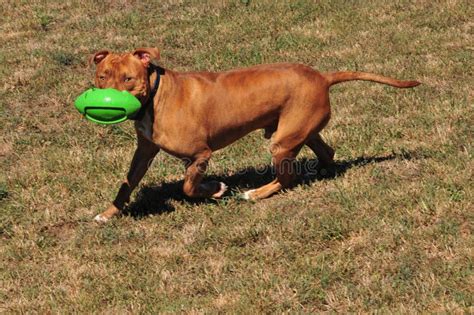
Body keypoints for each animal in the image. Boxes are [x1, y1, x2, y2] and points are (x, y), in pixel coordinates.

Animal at [90, 48, 420, 223]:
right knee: (326, 152)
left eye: (128, 79)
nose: (107, 101)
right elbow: (126, 184)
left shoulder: (200, 155)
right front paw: (108, 213)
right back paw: (326, 172)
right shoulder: (143, 151)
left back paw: (256, 193)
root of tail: (322, 77)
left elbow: (188, 187)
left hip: (282, 143)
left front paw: (217, 190)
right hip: (298, 130)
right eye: (102, 76)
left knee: (287, 177)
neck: (157, 95)